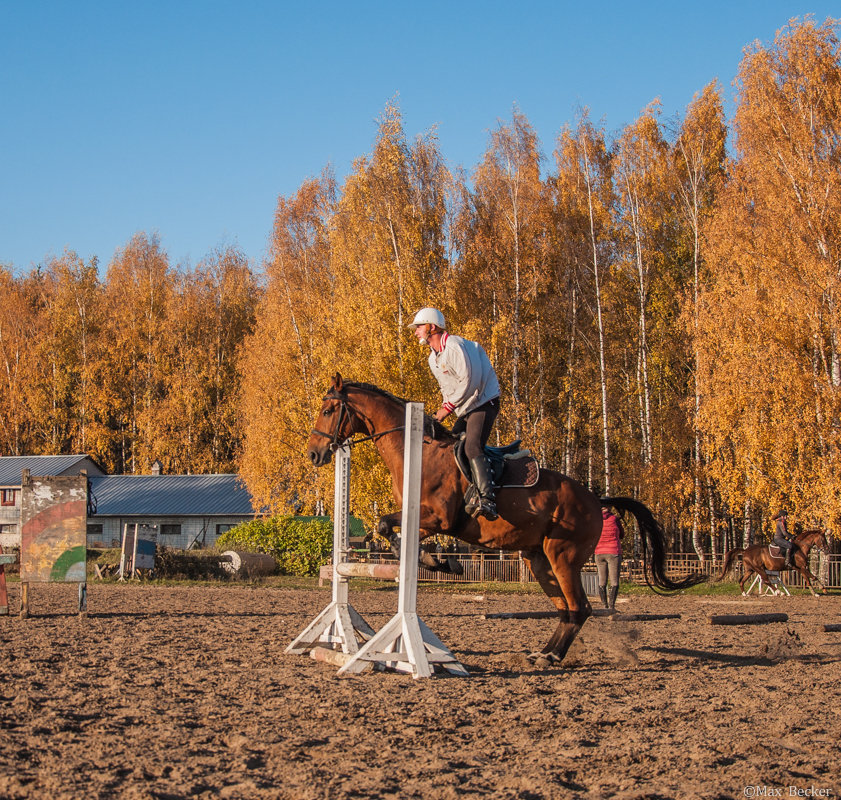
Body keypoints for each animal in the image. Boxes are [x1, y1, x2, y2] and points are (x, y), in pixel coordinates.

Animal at [306, 378, 704, 664]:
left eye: (328, 409)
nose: (314, 454)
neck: (417, 451)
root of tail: (596, 499)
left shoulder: (438, 518)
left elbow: (387, 527)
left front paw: (437, 561)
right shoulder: (425, 521)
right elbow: (389, 531)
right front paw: (438, 561)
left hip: (563, 557)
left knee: (580, 607)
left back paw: (552, 657)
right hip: (538, 559)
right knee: (566, 609)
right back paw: (545, 652)